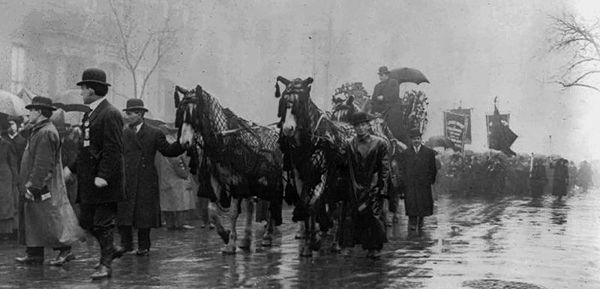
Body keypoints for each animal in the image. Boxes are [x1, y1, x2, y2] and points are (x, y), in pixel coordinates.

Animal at [173, 84, 284, 253]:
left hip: (272, 180)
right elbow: (212, 211)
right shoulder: (216, 181)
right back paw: (247, 239)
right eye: (181, 113)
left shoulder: (236, 181)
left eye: (195, 114)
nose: (184, 142)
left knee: (273, 204)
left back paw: (267, 236)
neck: (223, 142)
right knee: (252, 206)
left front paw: (231, 243)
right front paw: (225, 235)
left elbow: (232, 213)